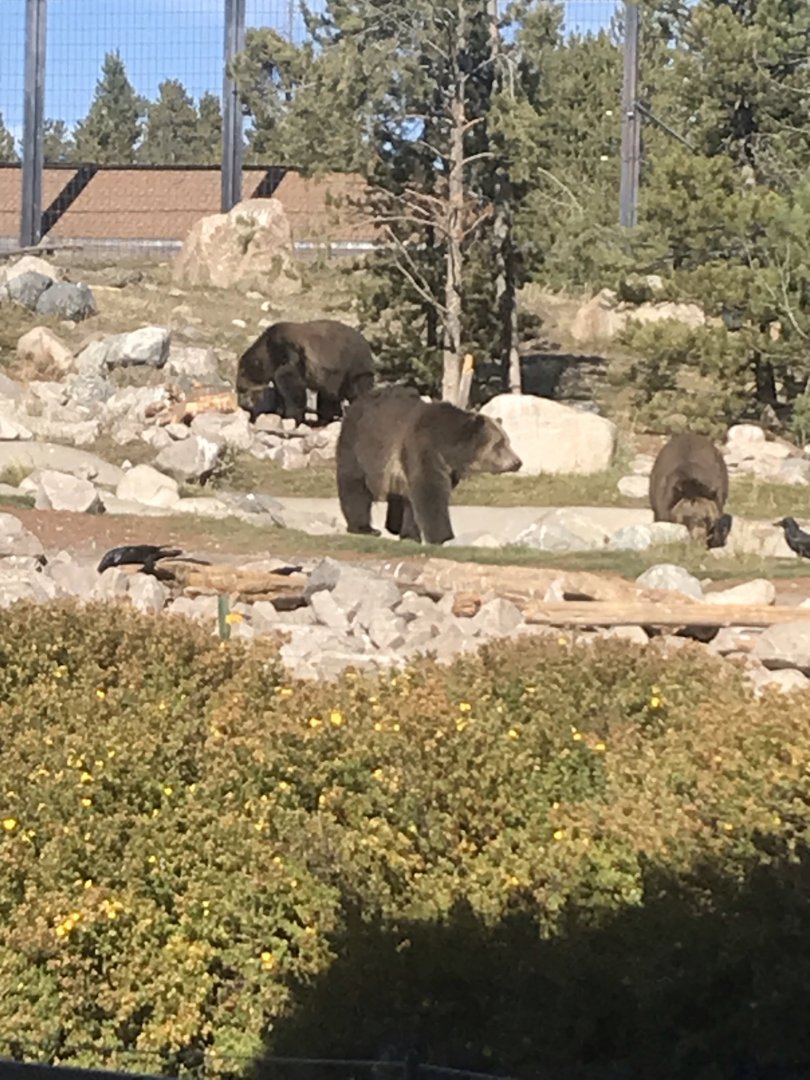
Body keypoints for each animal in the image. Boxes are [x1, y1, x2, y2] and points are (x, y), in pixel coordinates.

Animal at [236, 319, 375, 427]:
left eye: (242, 374)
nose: (239, 389)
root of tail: (367, 345)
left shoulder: (290, 353)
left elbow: (291, 384)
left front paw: (292, 416)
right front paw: (279, 412)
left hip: (354, 369)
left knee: (357, 391)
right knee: (327, 396)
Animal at [336, 385, 523, 545]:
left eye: (508, 441)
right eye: (499, 444)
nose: (517, 462)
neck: (448, 448)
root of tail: (357, 402)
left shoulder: (446, 467)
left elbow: (417, 498)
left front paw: (412, 535)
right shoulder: (424, 448)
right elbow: (430, 491)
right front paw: (444, 537)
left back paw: (397, 527)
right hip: (358, 445)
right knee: (354, 485)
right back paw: (364, 528)